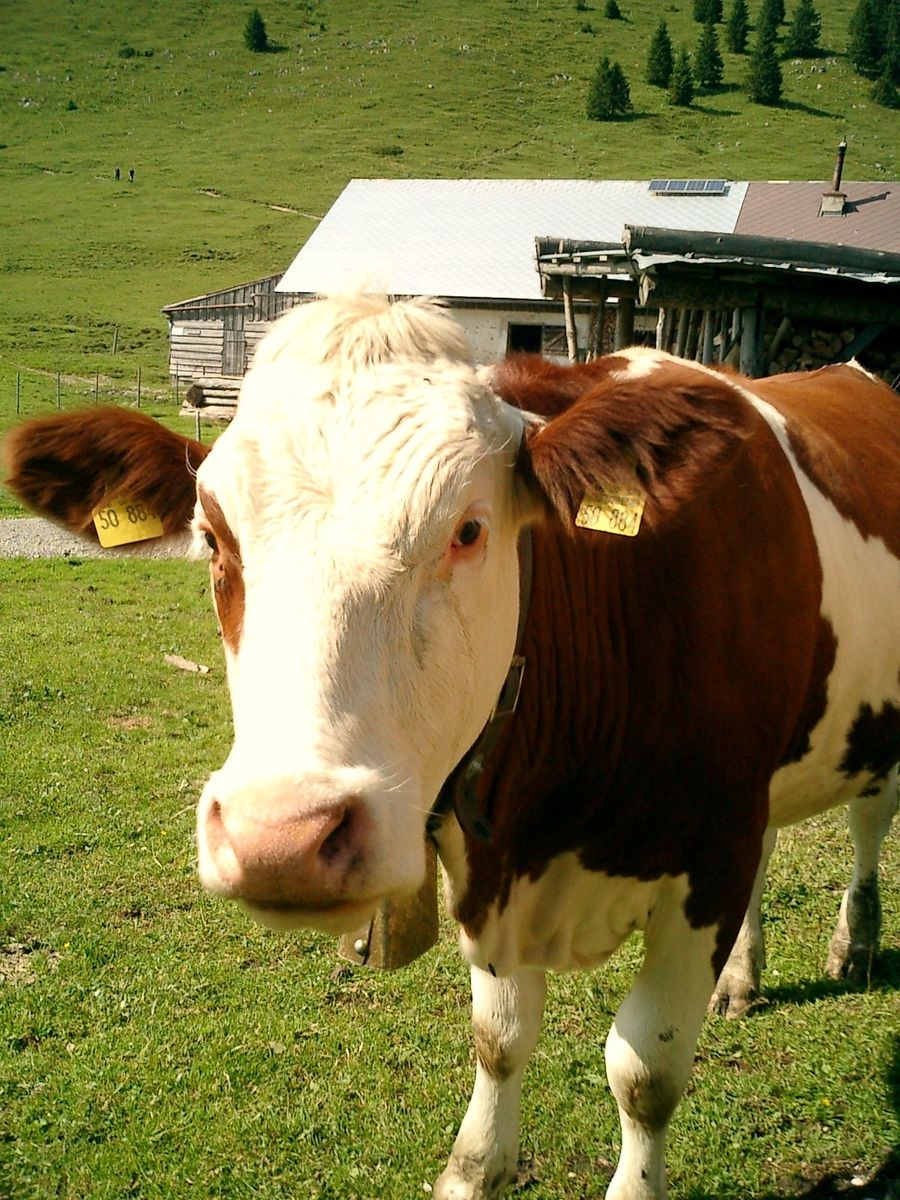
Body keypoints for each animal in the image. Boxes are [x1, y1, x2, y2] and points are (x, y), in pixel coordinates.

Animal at [3, 292, 897, 1200]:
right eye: (214, 540)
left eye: (469, 530)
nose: (279, 840)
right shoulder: (491, 857)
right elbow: (499, 1035)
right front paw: (474, 1168)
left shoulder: (708, 856)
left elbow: (645, 1071)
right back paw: (744, 978)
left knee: (868, 823)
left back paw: (853, 945)